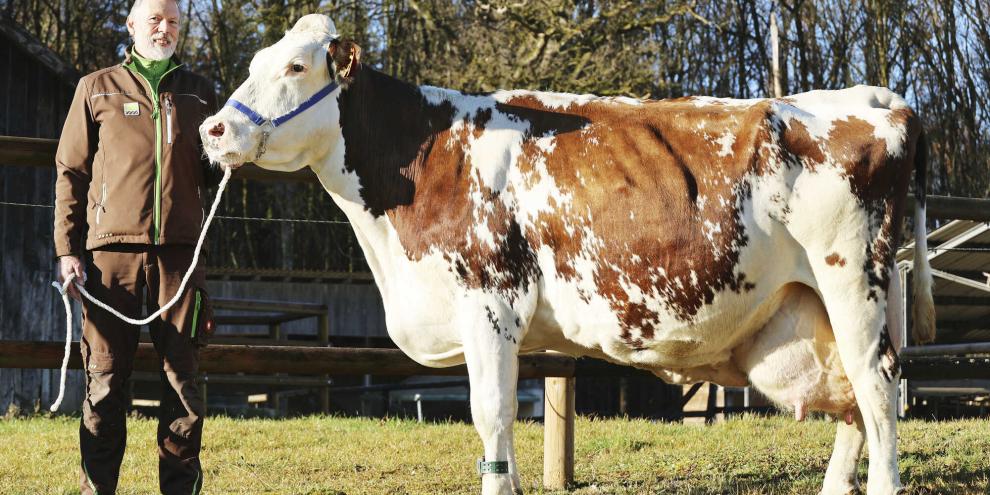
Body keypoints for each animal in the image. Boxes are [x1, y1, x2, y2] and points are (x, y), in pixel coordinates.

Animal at [200, 14, 934, 495]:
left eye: (295, 67)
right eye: (254, 65)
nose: (214, 129)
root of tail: (872, 99)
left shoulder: (490, 301)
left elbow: (491, 415)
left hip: (854, 280)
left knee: (876, 387)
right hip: (814, 307)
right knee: (853, 402)